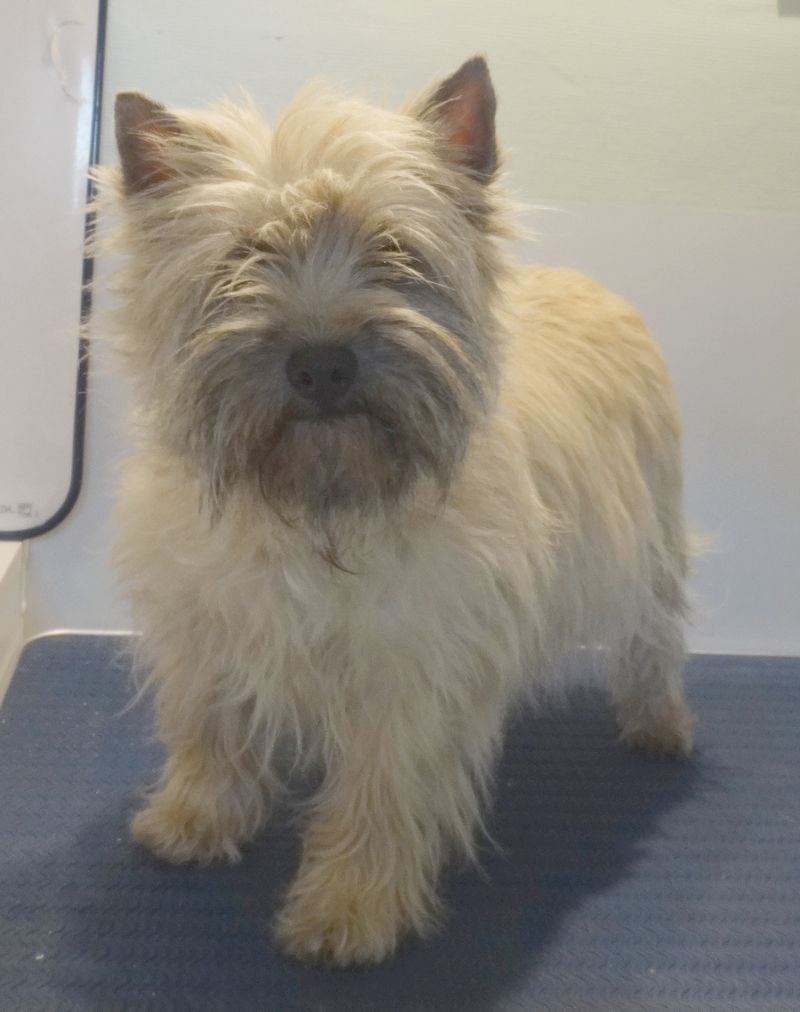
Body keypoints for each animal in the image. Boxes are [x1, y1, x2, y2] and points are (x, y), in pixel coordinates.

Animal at [101, 55, 695, 966]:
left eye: (393, 252)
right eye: (244, 255)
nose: (321, 364)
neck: (321, 504)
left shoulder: (410, 678)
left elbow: (381, 796)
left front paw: (348, 908)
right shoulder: (204, 627)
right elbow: (209, 727)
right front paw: (195, 819)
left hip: (654, 540)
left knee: (654, 635)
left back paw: (659, 721)